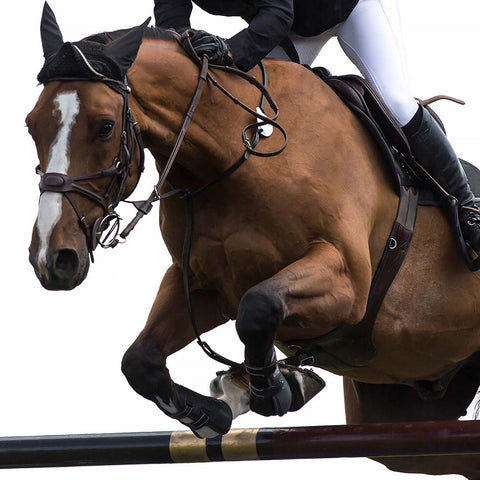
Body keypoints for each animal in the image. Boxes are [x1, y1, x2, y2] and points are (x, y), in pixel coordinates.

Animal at [25, 2, 480, 476]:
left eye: (104, 126)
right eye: (30, 126)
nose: (53, 259)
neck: (237, 157)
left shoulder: (348, 281)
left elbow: (258, 308)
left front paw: (273, 389)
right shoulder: (202, 284)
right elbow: (140, 361)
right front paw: (215, 412)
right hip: (404, 416)